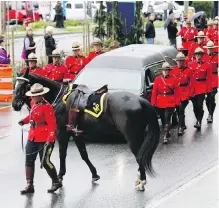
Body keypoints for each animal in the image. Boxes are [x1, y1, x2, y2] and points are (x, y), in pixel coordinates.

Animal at [12, 68, 160, 190]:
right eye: (15, 85)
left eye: (25, 86)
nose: (15, 105)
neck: (59, 99)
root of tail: (140, 100)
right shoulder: (76, 133)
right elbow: (84, 154)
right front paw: (94, 174)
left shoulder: (62, 133)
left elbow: (62, 154)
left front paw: (59, 177)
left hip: (132, 138)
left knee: (139, 156)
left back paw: (142, 181)